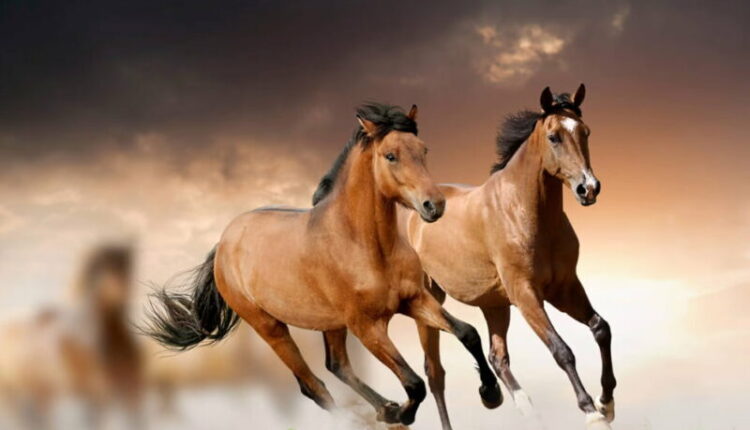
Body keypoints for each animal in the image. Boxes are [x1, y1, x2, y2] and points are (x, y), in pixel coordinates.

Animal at [0, 244, 143, 430]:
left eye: (126, 265)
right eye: (104, 267)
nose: (123, 294)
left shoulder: (130, 395)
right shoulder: (100, 398)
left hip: (38, 395)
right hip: (17, 395)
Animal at [144, 103, 502, 427]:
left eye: (423, 149)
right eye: (390, 155)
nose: (434, 205)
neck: (366, 245)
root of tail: (223, 243)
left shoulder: (414, 300)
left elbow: (468, 333)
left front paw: (491, 394)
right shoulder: (367, 326)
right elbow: (414, 383)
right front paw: (402, 413)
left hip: (330, 323)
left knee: (337, 365)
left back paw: (383, 407)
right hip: (271, 327)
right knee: (313, 386)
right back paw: (374, 413)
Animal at [406, 85, 616, 430]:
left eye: (585, 132)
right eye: (554, 136)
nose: (589, 188)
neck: (523, 211)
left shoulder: (565, 288)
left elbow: (601, 328)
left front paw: (607, 402)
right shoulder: (526, 293)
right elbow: (561, 350)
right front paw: (591, 412)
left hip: (494, 304)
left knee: (497, 357)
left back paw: (519, 405)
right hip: (429, 301)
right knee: (435, 374)